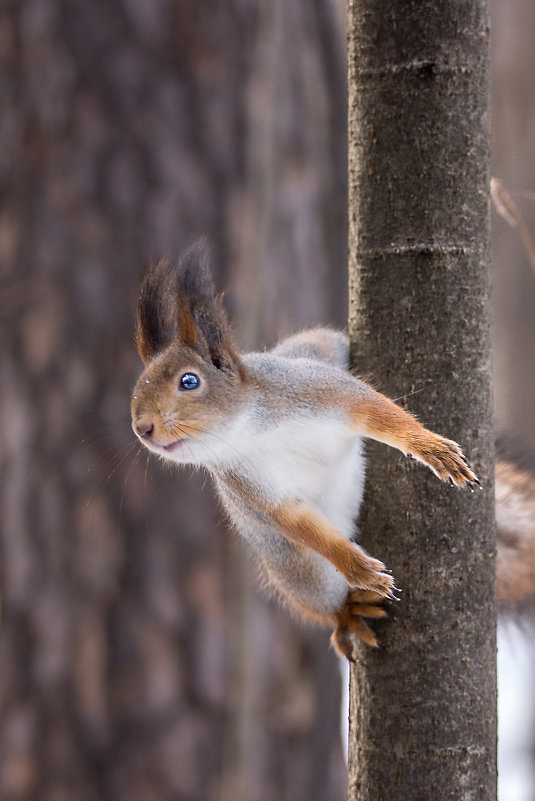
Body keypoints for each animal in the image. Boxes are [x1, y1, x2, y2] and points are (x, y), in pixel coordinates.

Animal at [131, 241, 535, 660]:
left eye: (189, 381)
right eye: (137, 389)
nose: (142, 428)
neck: (247, 430)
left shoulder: (319, 389)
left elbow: (378, 412)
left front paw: (430, 449)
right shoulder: (248, 484)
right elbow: (297, 523)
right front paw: (358, 569)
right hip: (297, 571)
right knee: (319, 595)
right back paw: (348, 611)